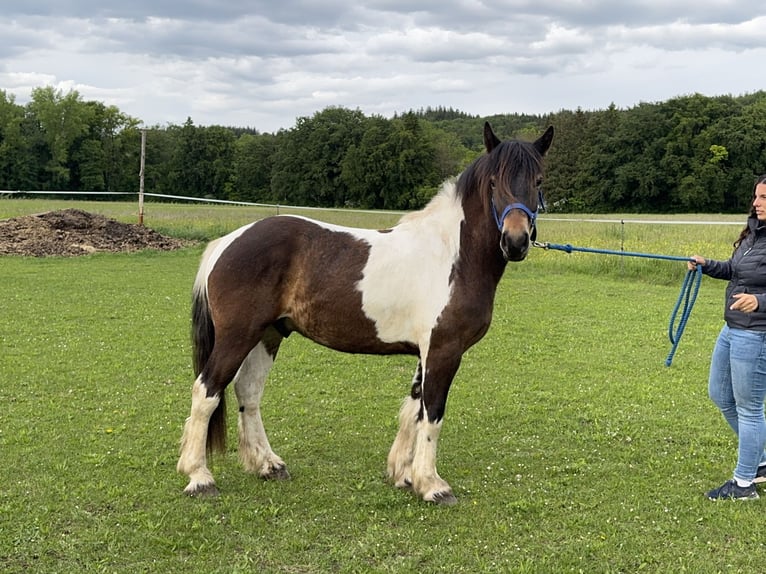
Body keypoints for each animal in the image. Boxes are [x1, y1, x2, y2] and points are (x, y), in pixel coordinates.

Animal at [177, 122, 554, 505]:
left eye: (538, 180)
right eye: (493, 182)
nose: (516, 241)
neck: (453, 254)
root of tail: (226, 243)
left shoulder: (426, 352)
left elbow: (414, 408)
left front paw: (404, 475)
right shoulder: (444, 350)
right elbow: (432, 414)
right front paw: (432, 484)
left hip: (268, 334)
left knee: (248, 392)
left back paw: (268, 465)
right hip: (237, 336)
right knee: (206, 392)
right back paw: (200, 477)